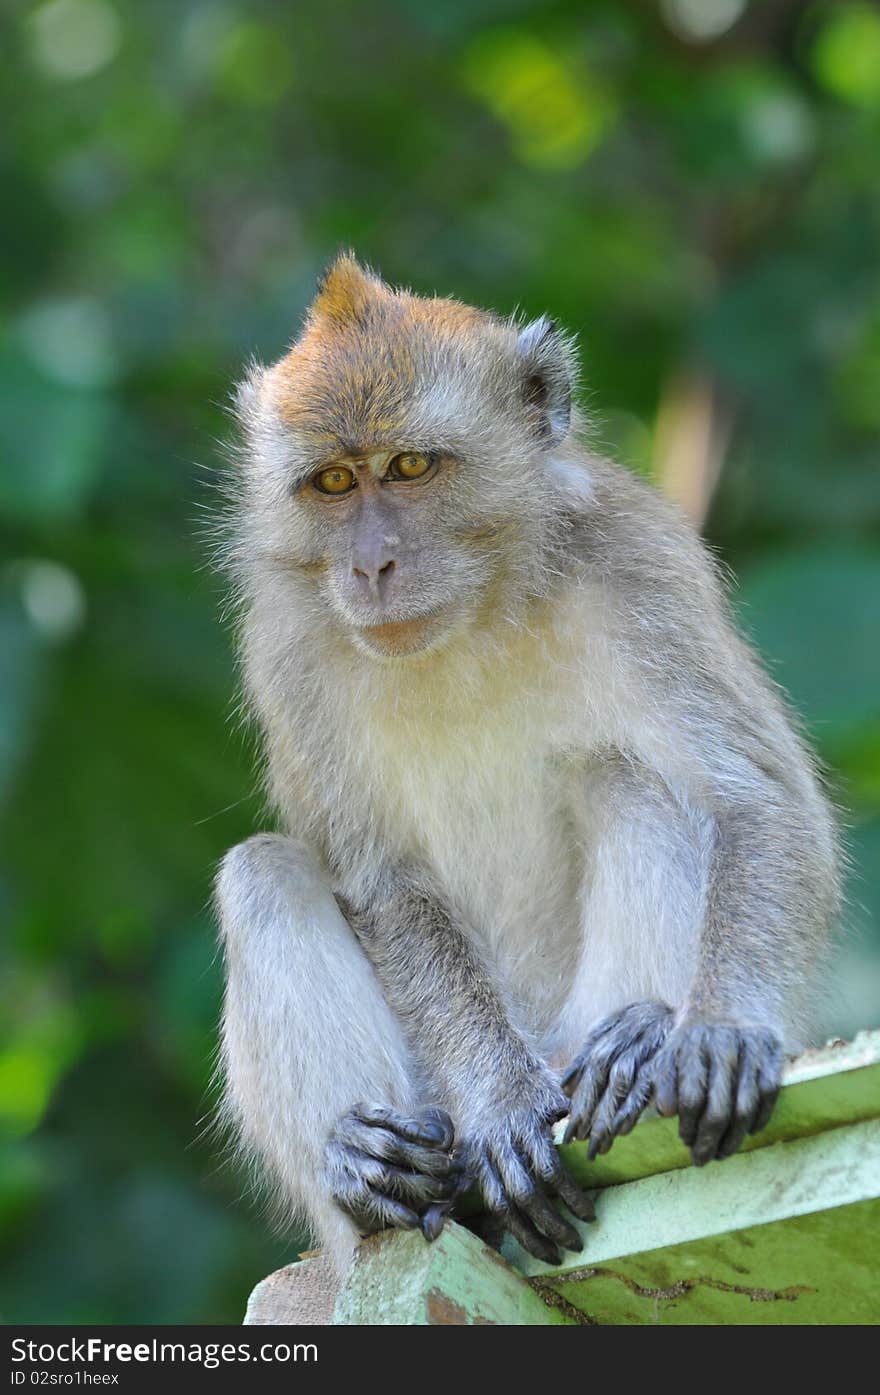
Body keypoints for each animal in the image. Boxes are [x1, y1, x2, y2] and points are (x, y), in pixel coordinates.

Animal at [213, 251, 842, 1277]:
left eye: (411, 466)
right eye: (334, 482)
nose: (371, 565)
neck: (476, 611)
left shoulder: (639, 566)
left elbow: (754, 796)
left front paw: (723, 1029)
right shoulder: (286, 647)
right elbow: (382, 880)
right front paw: (498, 1103)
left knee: (631, 779)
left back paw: (637, 1040)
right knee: (263, 871)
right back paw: (377, 1177)